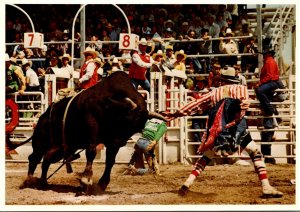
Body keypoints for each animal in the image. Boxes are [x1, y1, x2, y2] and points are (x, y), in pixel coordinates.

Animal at [19, 71, 165, 192]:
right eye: (125, 120)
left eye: (136, 129)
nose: (121, 142)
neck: (109, 106)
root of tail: (42, 117)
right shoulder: (93, 134)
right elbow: (91, 152)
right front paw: (86, 179)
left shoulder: (112, 143)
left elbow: (110, 161)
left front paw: (102, 183)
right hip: (41, 142)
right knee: (34, 158)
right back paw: (29, 180)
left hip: (61, 148)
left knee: (47, 160)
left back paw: (43, 182)